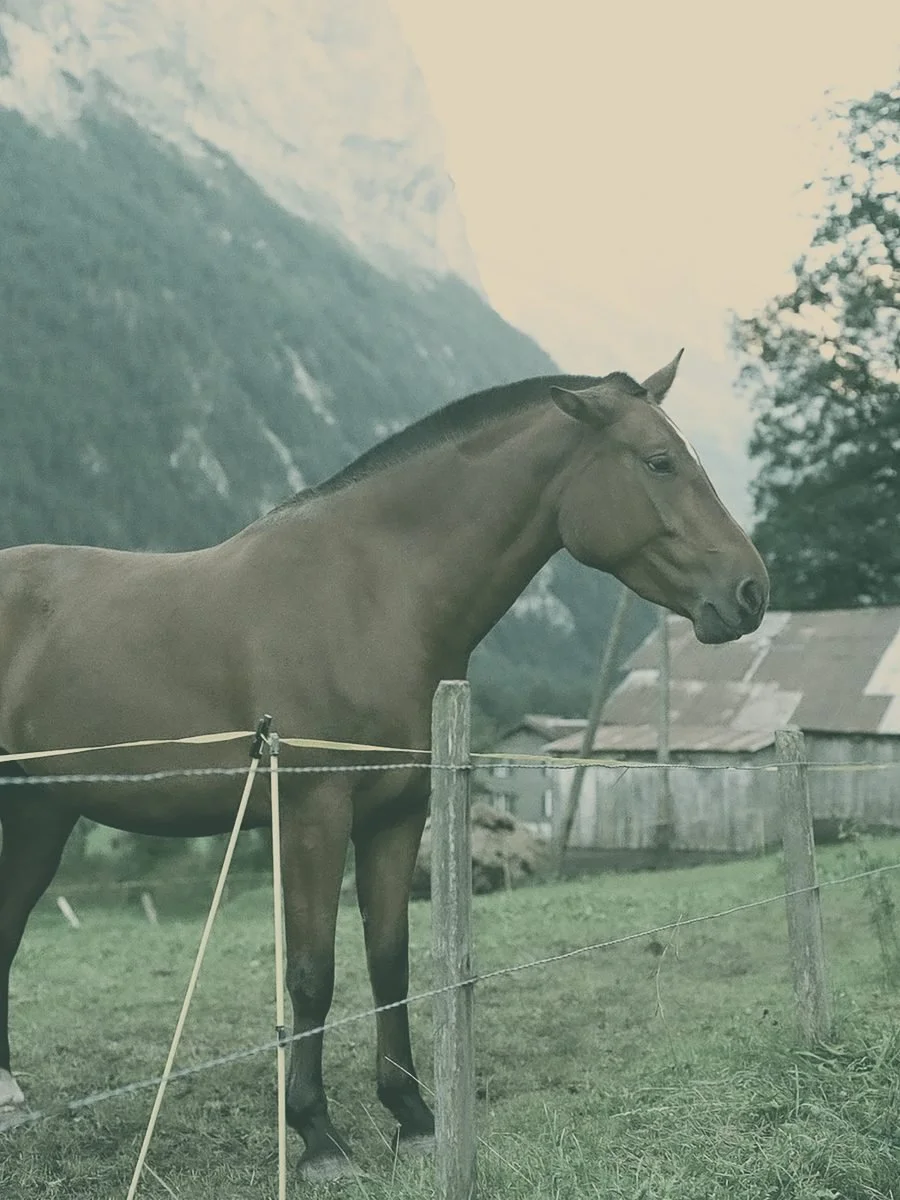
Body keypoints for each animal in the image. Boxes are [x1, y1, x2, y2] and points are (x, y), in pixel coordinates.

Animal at [0, 351, 768, 1178]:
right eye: (659, 462)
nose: (752, 592)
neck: (371, 595)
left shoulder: (398, 814)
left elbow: (389, 960)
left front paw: (413, 1113)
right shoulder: (313, 812)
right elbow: (313, 973)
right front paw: (317, 1135)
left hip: (40, 814)